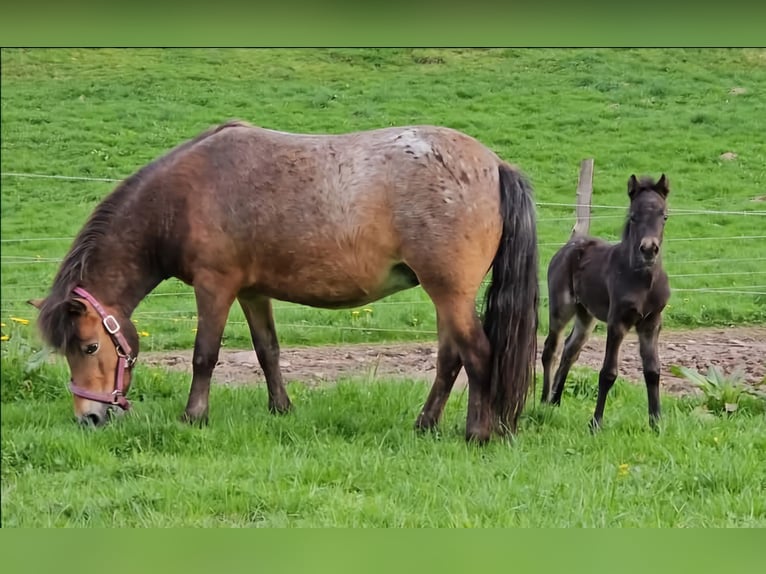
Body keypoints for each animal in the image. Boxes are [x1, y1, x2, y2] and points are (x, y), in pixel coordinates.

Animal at [28, 120, 540, 446]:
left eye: (90, 347)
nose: (89, 419)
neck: (183, 197)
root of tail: (495, 165)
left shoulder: (215, 286)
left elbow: (204, 355)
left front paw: (195, 416)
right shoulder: (253, 292)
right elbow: (267, 351)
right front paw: (281, 409)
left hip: (449, 292)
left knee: (478, 354)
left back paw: (477, 434)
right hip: (444, 295)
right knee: (451, 358)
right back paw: (425, 424)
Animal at [540, 176, 672, 432]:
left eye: (664, 216)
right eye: (633, 216)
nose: (649, 249)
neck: (642, 281)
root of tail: (570, 245)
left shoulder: (651, 323)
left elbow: (653, 371)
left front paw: (656, 424)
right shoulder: (617, 321)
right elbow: (608, 373)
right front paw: (595, 424)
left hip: (586, 315)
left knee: (570, 349)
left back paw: (555, 401)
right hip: (561, 308)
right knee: (551, 349)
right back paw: (541, 402)